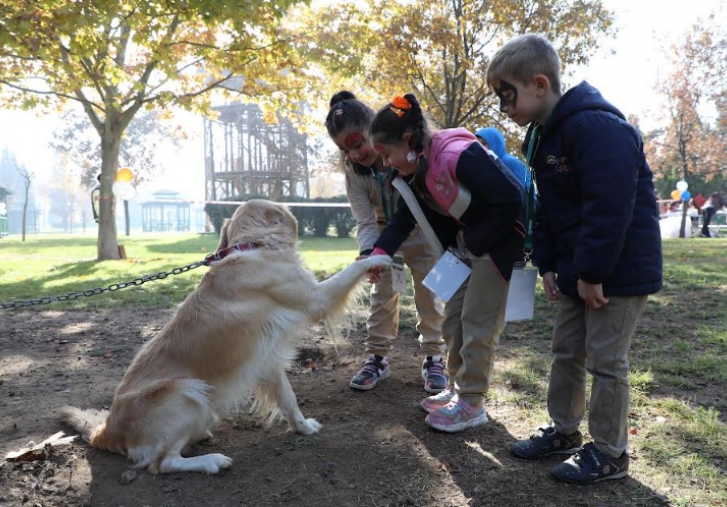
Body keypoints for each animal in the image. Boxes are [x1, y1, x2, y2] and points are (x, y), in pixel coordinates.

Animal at [58, 199, 392, 476]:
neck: (251, 247)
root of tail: (107, 430)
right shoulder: (316, 299)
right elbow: (351, 270)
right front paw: (377, 258)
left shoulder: (268, 359)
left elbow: (289, 399)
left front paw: (304, 428)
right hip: (187, 391)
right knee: (160, 463)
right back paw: (212, 461)